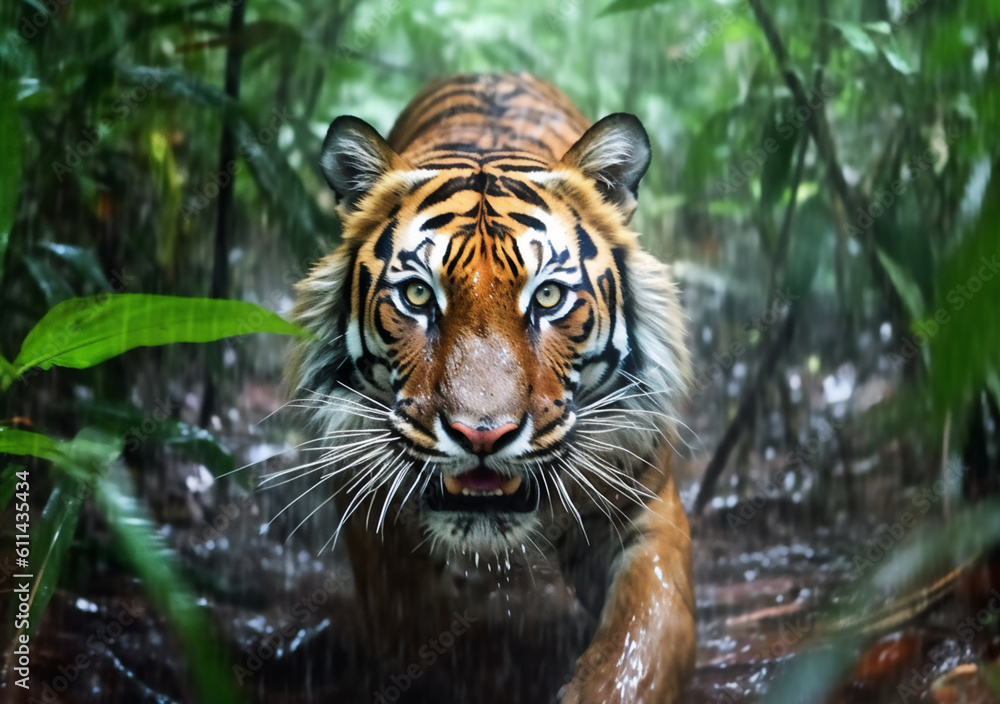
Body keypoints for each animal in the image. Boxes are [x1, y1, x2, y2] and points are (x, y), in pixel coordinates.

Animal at [288, 72, 694, 703]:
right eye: (418, 295)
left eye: (548, 297)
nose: (482, 435)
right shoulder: (373, 519)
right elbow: (414, 632)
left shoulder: (646, 512)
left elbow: (641, 639)